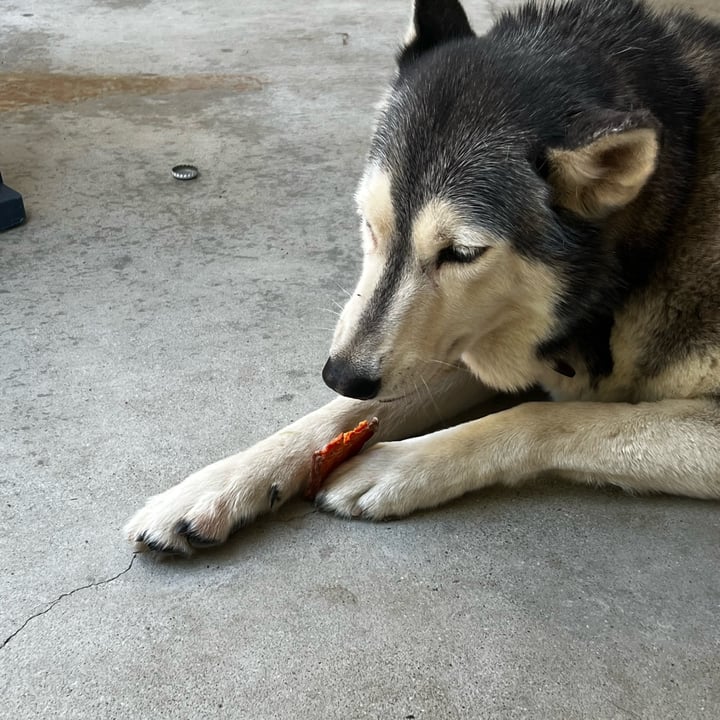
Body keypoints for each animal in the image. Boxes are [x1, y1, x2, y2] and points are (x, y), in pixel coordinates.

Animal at [126, 0, 720, 556]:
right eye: (369, 224)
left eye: (462, 253)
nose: (341, 374)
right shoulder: (456, 342)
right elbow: (341, 415)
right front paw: (220, 483)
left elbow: (541, 417)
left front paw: (395, 467)